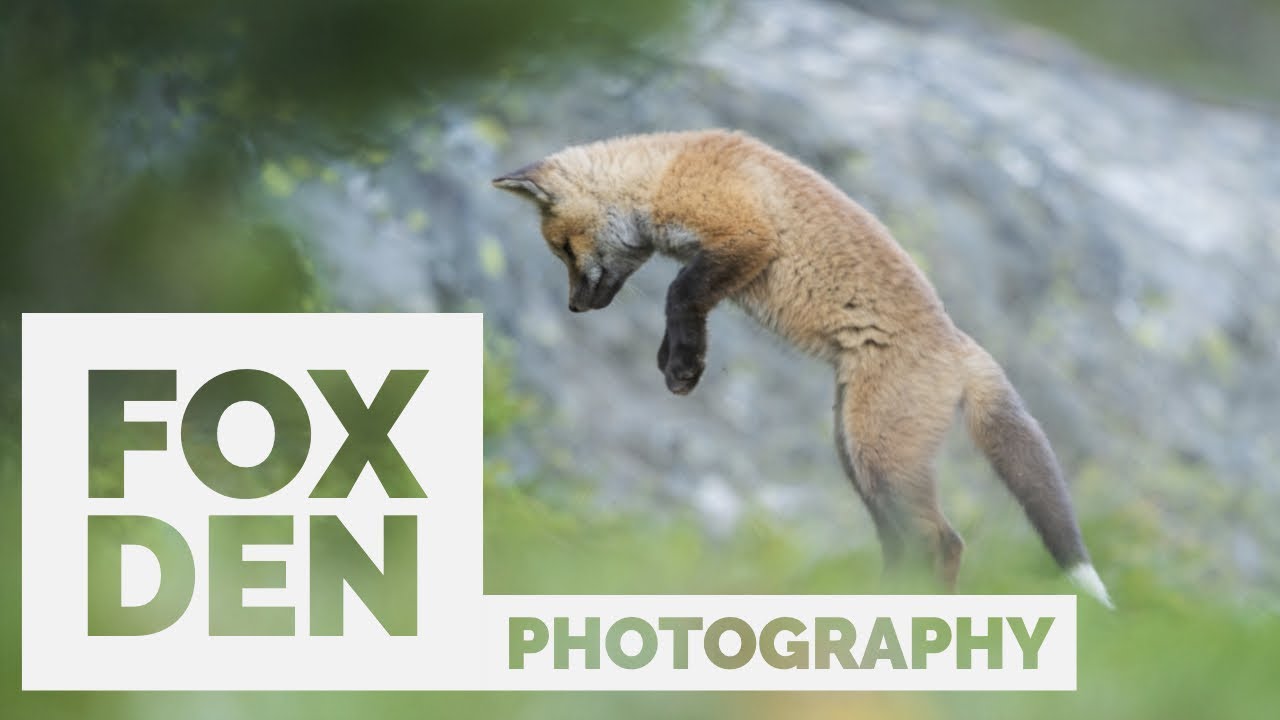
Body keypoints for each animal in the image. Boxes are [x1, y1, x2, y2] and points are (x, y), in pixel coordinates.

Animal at [493, 129, 1113, 608]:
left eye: (563, 249)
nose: (575, 308)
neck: (665, 170)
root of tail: (962, 347)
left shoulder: (745, 237)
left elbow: (678, 293)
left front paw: (683, 367)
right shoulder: (716, 262)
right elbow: (685, 304)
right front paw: (675, 361)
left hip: (881, 456)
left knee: (943, 542)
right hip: (857, 455)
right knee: (904, 543)